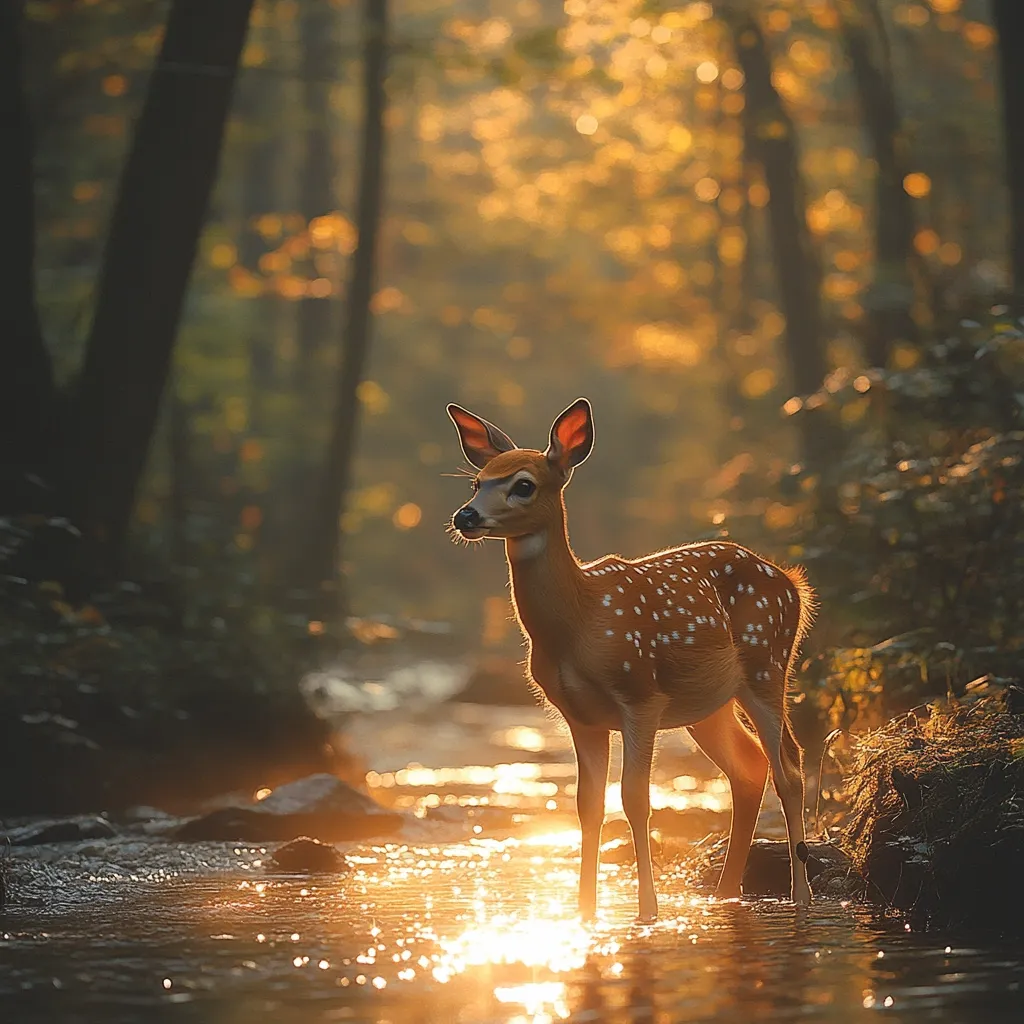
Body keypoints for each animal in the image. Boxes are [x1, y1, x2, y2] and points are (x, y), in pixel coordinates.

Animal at [447, 398, 816, 922]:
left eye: (523, 484)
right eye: (477, 482)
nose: (466, 516)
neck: (579, 621)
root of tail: (793, 583)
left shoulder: (639, 694)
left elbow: (635, 798)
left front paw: (647, 911)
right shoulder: (579, 715)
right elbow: (588, 804)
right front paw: (585, 912)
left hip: (768, 663)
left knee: (789, 767)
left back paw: (800, 897)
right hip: (707, 703)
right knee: (748, 768)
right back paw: (725, 894)